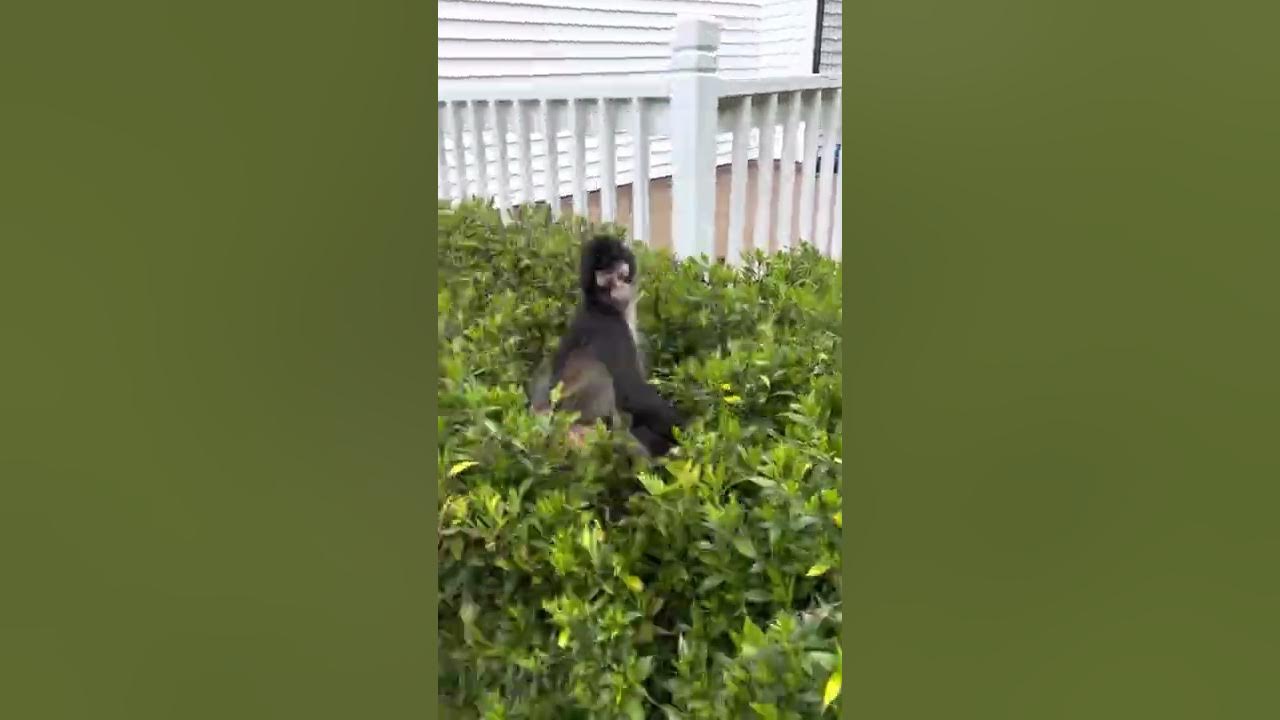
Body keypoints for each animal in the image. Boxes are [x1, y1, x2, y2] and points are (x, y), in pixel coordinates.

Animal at [528, 234, 683, 457]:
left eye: (619, 273)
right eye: (605, 280)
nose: (617, 287)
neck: (600, 305)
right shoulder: (612, 329)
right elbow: (631, 394)